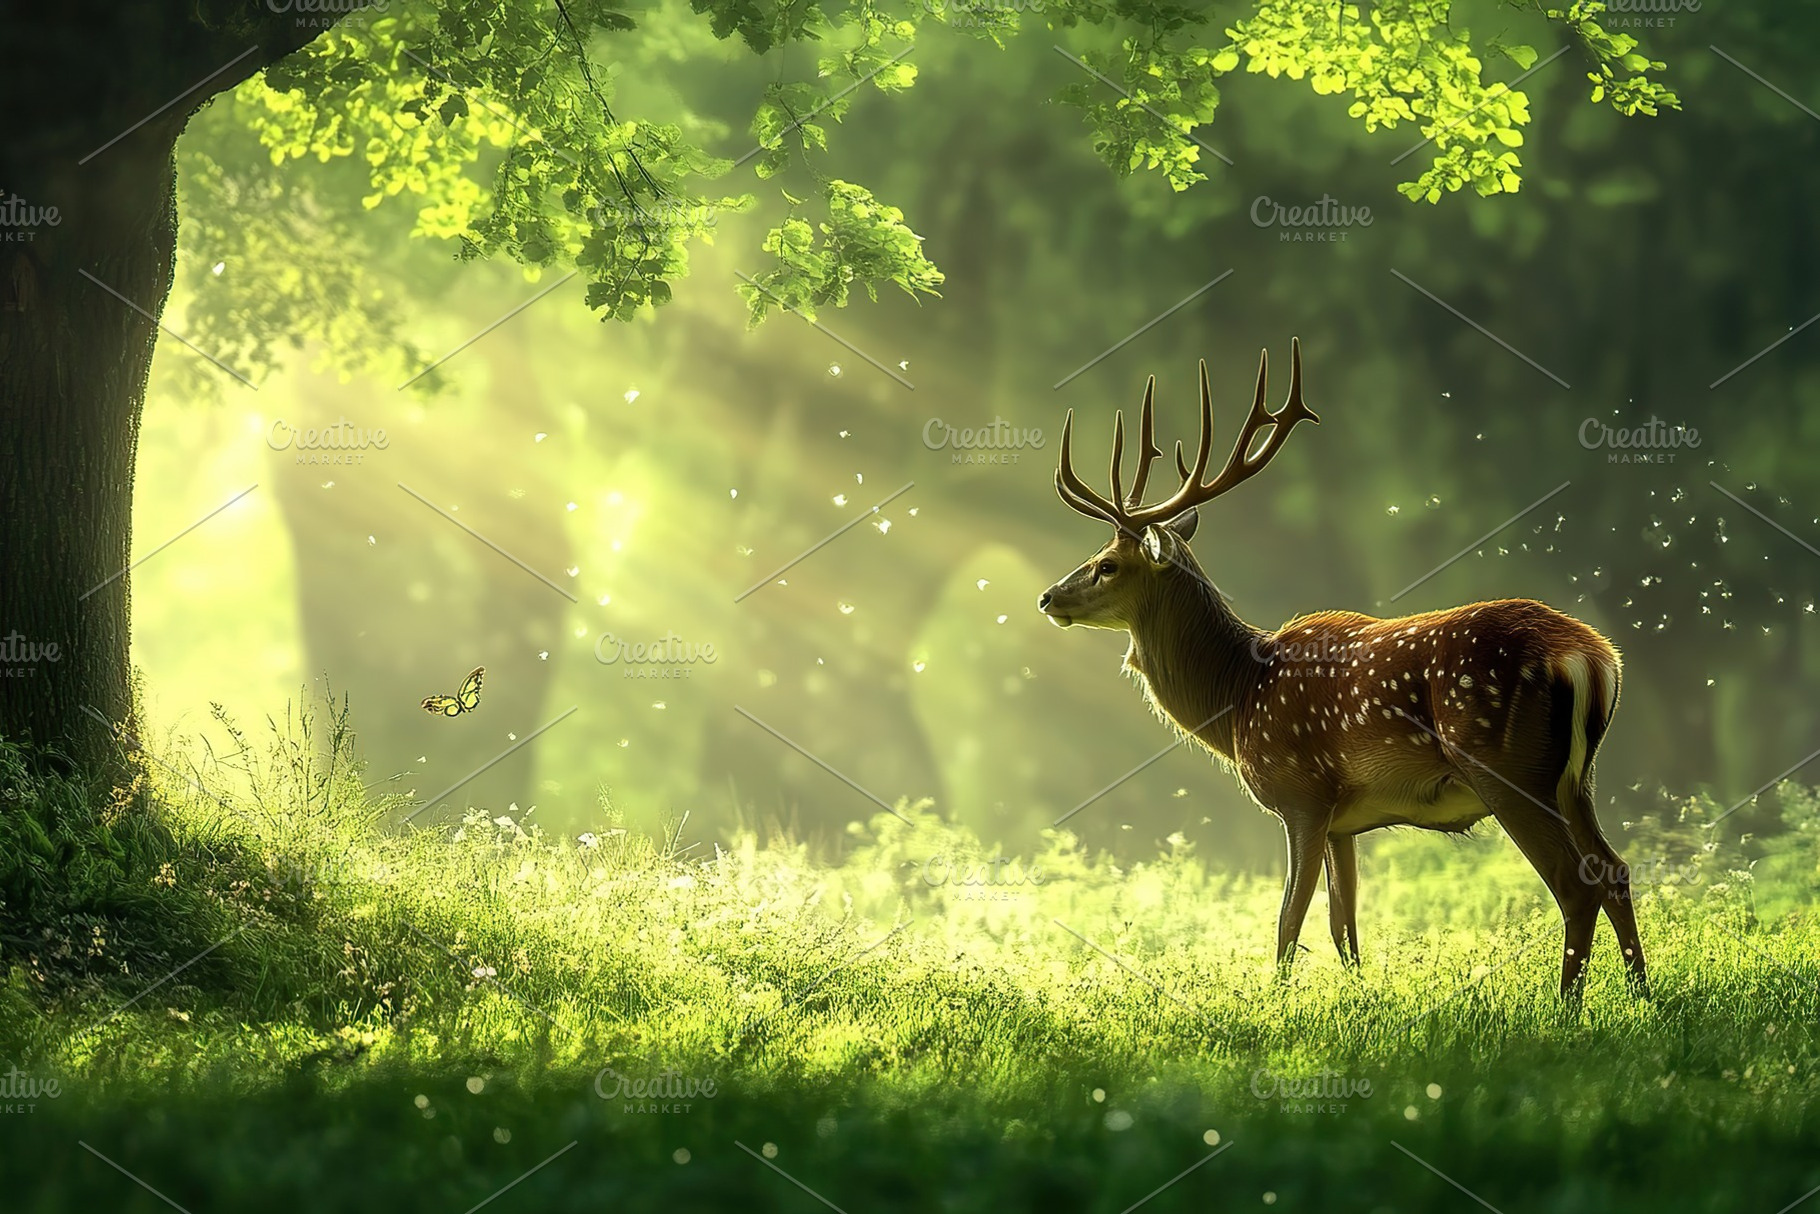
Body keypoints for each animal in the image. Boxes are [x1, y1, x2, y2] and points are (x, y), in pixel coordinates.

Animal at [1036, 338, 1648, 997]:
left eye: (1106, 565)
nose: (1047, 598)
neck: (1239, 697)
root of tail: (1591, 658)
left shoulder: (1301, 795)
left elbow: (1288, 921)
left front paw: (1277, 1003)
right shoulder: (1343, 821)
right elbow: (1342, 924)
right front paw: (1361, 997)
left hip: (1508, 766)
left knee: (1575, 882)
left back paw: (1567, 1006)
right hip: (1576, 779)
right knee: (1614, 869)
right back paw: (1642, 996)